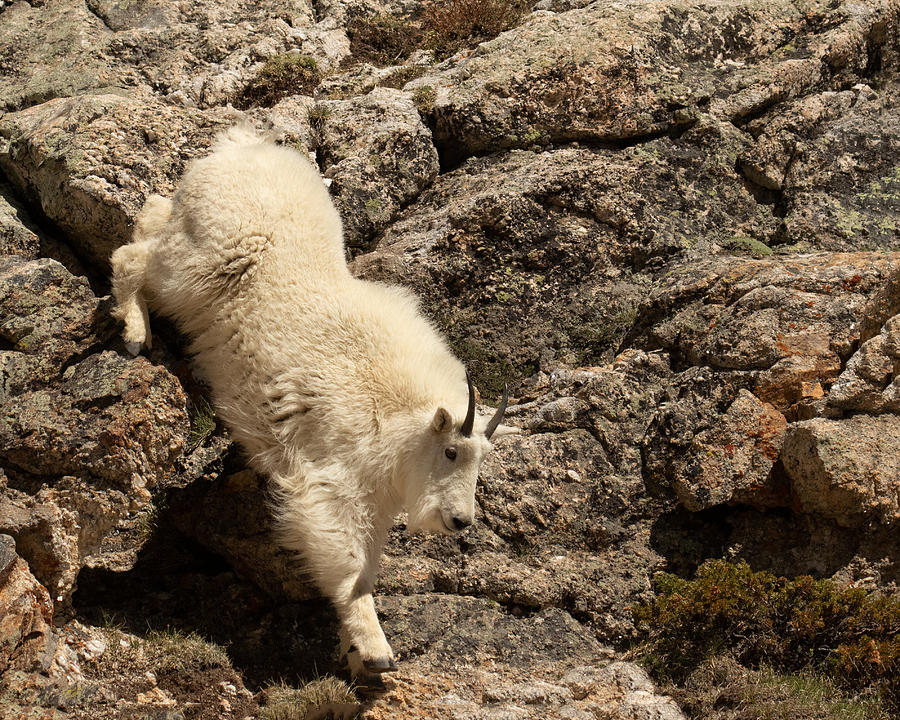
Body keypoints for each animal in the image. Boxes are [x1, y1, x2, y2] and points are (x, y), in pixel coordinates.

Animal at [107, 128, 506, 680]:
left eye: (481, 461)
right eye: (451, 452)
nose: (461, 521)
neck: (395, 413)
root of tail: (237, 146)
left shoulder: (377, 498)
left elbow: (367, 565)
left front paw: (358, 654)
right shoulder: (331, 479)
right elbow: (347, 564)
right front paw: (375, 650)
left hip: (183, 234)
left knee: (151, 212)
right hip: (192, 268)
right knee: (132, 256)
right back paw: (134, 331)